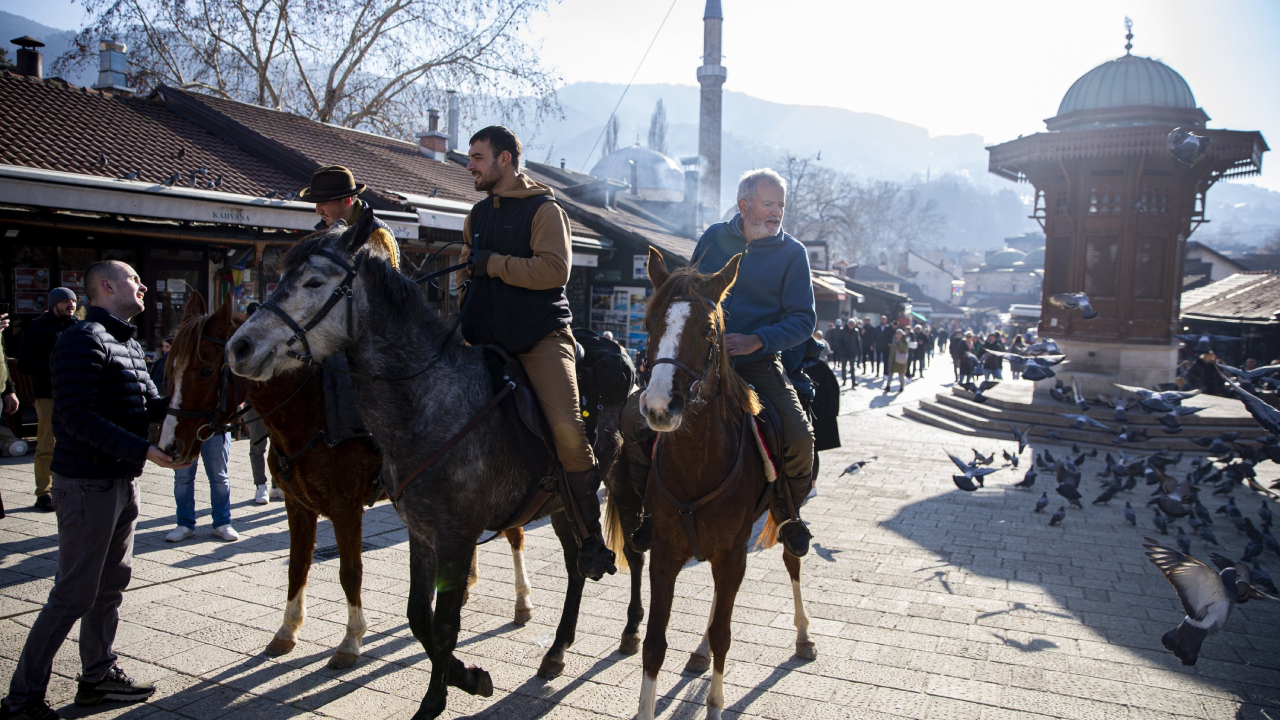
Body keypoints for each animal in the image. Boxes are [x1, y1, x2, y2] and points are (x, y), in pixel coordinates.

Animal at [157, 286, 532, 666]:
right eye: (169, 369)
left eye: (205, 371)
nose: (170, 446)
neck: (313, 412)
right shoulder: (297, 505)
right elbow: (297, 566)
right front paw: (287, 629)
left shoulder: (345, 508)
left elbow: (350, 572)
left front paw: (350, 639)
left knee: (514, 534)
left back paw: (522, 600)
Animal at [222, 212, 640, 717]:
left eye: (314, 281)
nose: (240, 347)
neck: (427, 402)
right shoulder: (421, 532)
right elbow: (419, 617)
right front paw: (468, 677)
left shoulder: (454, 536)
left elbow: (443, 625)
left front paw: (436, 698)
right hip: (560, 504)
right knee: (575, 567)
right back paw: (557, 650)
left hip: (620, 484)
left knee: (633, 552)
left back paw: (631, 630)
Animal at [634, 248, 814, 717]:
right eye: (650, 323)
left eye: (707, 329)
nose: (659, 406)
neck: (696, 461)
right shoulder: (665, 552)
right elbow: (654, 642)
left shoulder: (733, 553)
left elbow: (723, 636)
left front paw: (715, 703)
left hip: (781, 514)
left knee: (791, 560)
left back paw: (803, 635)